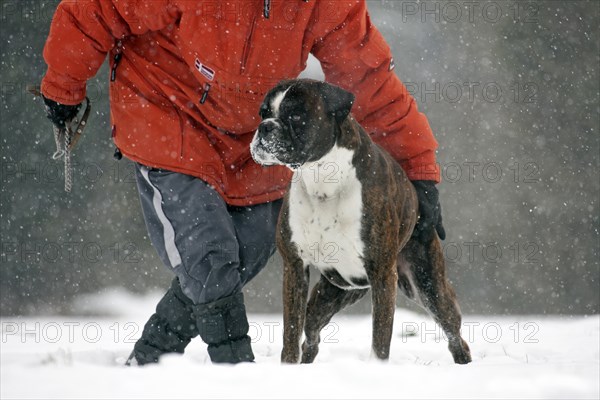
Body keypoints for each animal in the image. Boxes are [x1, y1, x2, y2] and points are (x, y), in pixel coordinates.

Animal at [251, 79, 472, 364]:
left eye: (296, 115)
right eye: (263, 113)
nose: (265, 127)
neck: (322, 179)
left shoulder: (382, 275)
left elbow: (380, 336)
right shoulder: (295, 267)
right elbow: (291, 330)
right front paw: (288, 366)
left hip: (427, 286)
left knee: (454, 333)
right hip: (331, 294)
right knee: (311, 333)